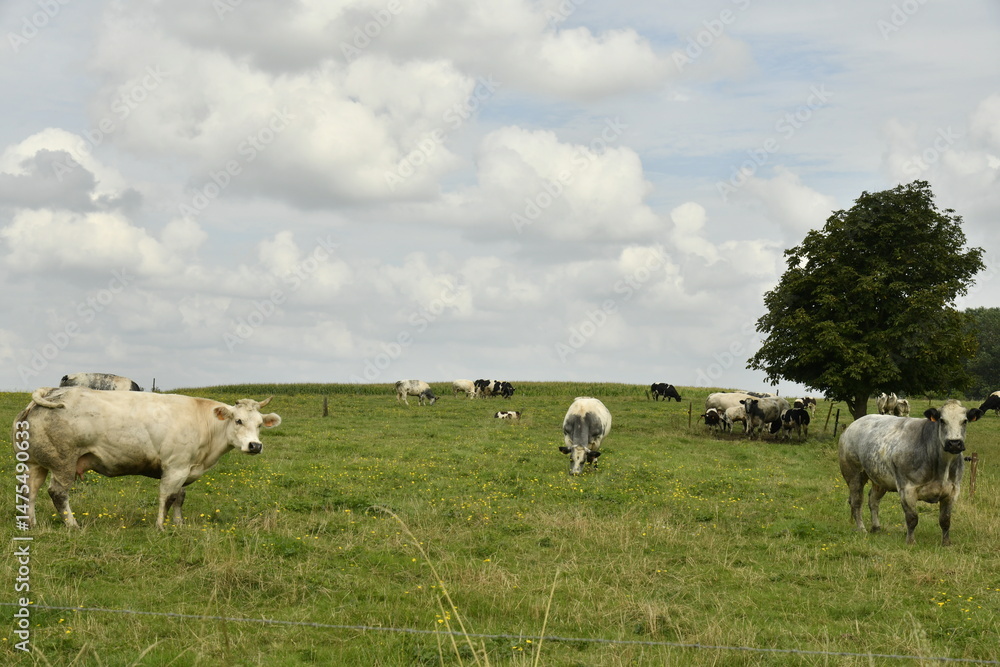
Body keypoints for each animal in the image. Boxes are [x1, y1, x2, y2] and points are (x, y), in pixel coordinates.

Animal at [12, 387, 280, 530]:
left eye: (260, 424)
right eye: (238, 421)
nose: (255, 445)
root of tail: (55, 391)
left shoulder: (185, 468)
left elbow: (179, 497)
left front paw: (179, 524)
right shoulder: (175, 467)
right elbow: (167, 496)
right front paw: (161, 526)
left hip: (35, 462)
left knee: (29, 491)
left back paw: (31, 524)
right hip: (63, 462)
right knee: (57, 493)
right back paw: (73, 525)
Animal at [837, 399, 982, 545]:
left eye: (965, 421)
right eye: (942, 420)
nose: (954, 443)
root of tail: (854, 424)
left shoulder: (953, 490)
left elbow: (945, 519)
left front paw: (946, 543)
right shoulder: (907, 488)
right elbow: (912, 518)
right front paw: (911, 542)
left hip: (879, 478)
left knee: (873, 500)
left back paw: (876, 527)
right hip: (853, 474)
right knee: (856, 502)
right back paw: (862, 529)